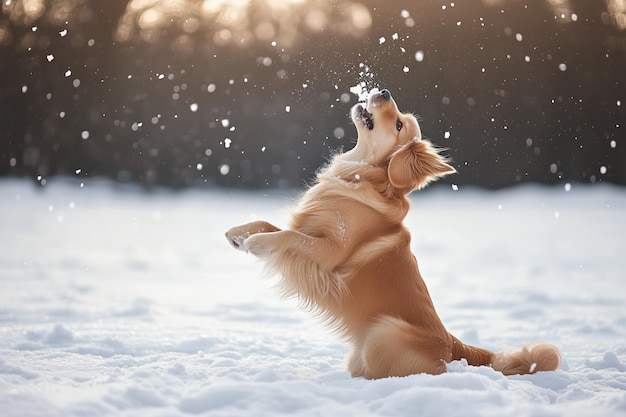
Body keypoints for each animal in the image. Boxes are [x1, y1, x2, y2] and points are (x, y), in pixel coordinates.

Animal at [223, 88, 556, 376]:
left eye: (398, 125)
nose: (384, 91)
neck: (360, 176)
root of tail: (454, 347)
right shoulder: (310, 227)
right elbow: (271, 224)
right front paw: (239, 233)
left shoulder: (330, 252)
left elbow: (287, 236)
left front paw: (257, 243)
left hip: (382, 332)